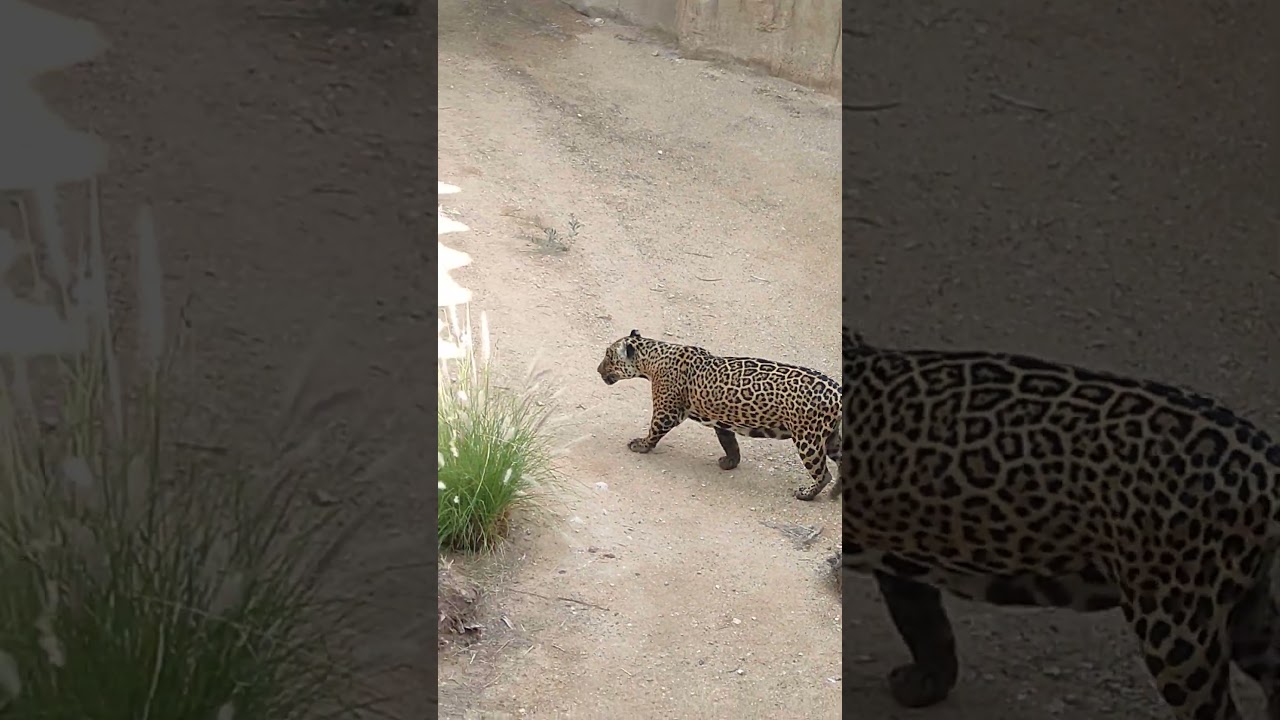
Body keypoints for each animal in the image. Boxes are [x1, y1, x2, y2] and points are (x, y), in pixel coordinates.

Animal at [596, 329, 841, 501]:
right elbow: (729, 442)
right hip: (831, 437)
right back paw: (836, 492)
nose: (598, 370)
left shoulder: (667, 412)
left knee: (823, 474)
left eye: (609, 356)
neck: (653, 358)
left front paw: (640, 445)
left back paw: (807, 494)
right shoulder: (722, 421)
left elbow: (654, 430)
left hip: (808, 438)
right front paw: (730, 462)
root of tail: (838, 390)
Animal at [839, 326, 1280, 720]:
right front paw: (926, 685)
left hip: (1177, 624)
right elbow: (924, 622)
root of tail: (1264, 454)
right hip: (1245, 610)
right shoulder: (899, 546)